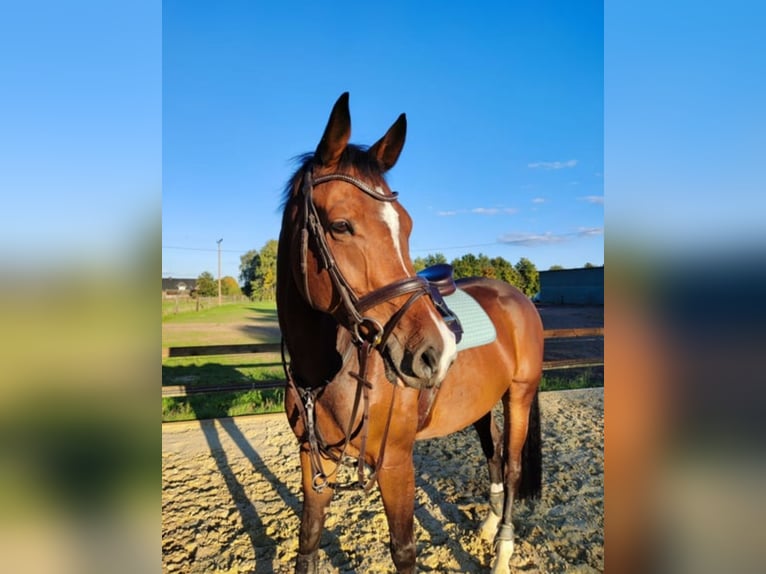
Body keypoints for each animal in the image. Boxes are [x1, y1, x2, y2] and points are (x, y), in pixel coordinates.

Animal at [278, 92, 544, 572]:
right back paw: (489, 526)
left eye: (407, 224)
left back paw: (502, 549)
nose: (435, 353)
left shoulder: (396, 465)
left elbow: (403, 550)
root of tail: (517, 295)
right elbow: (308, 540)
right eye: (341, 225)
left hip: (519, 393)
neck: (325, 372)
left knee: (513, 466)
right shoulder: (313, 459)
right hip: (482, 404)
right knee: (494, 454)